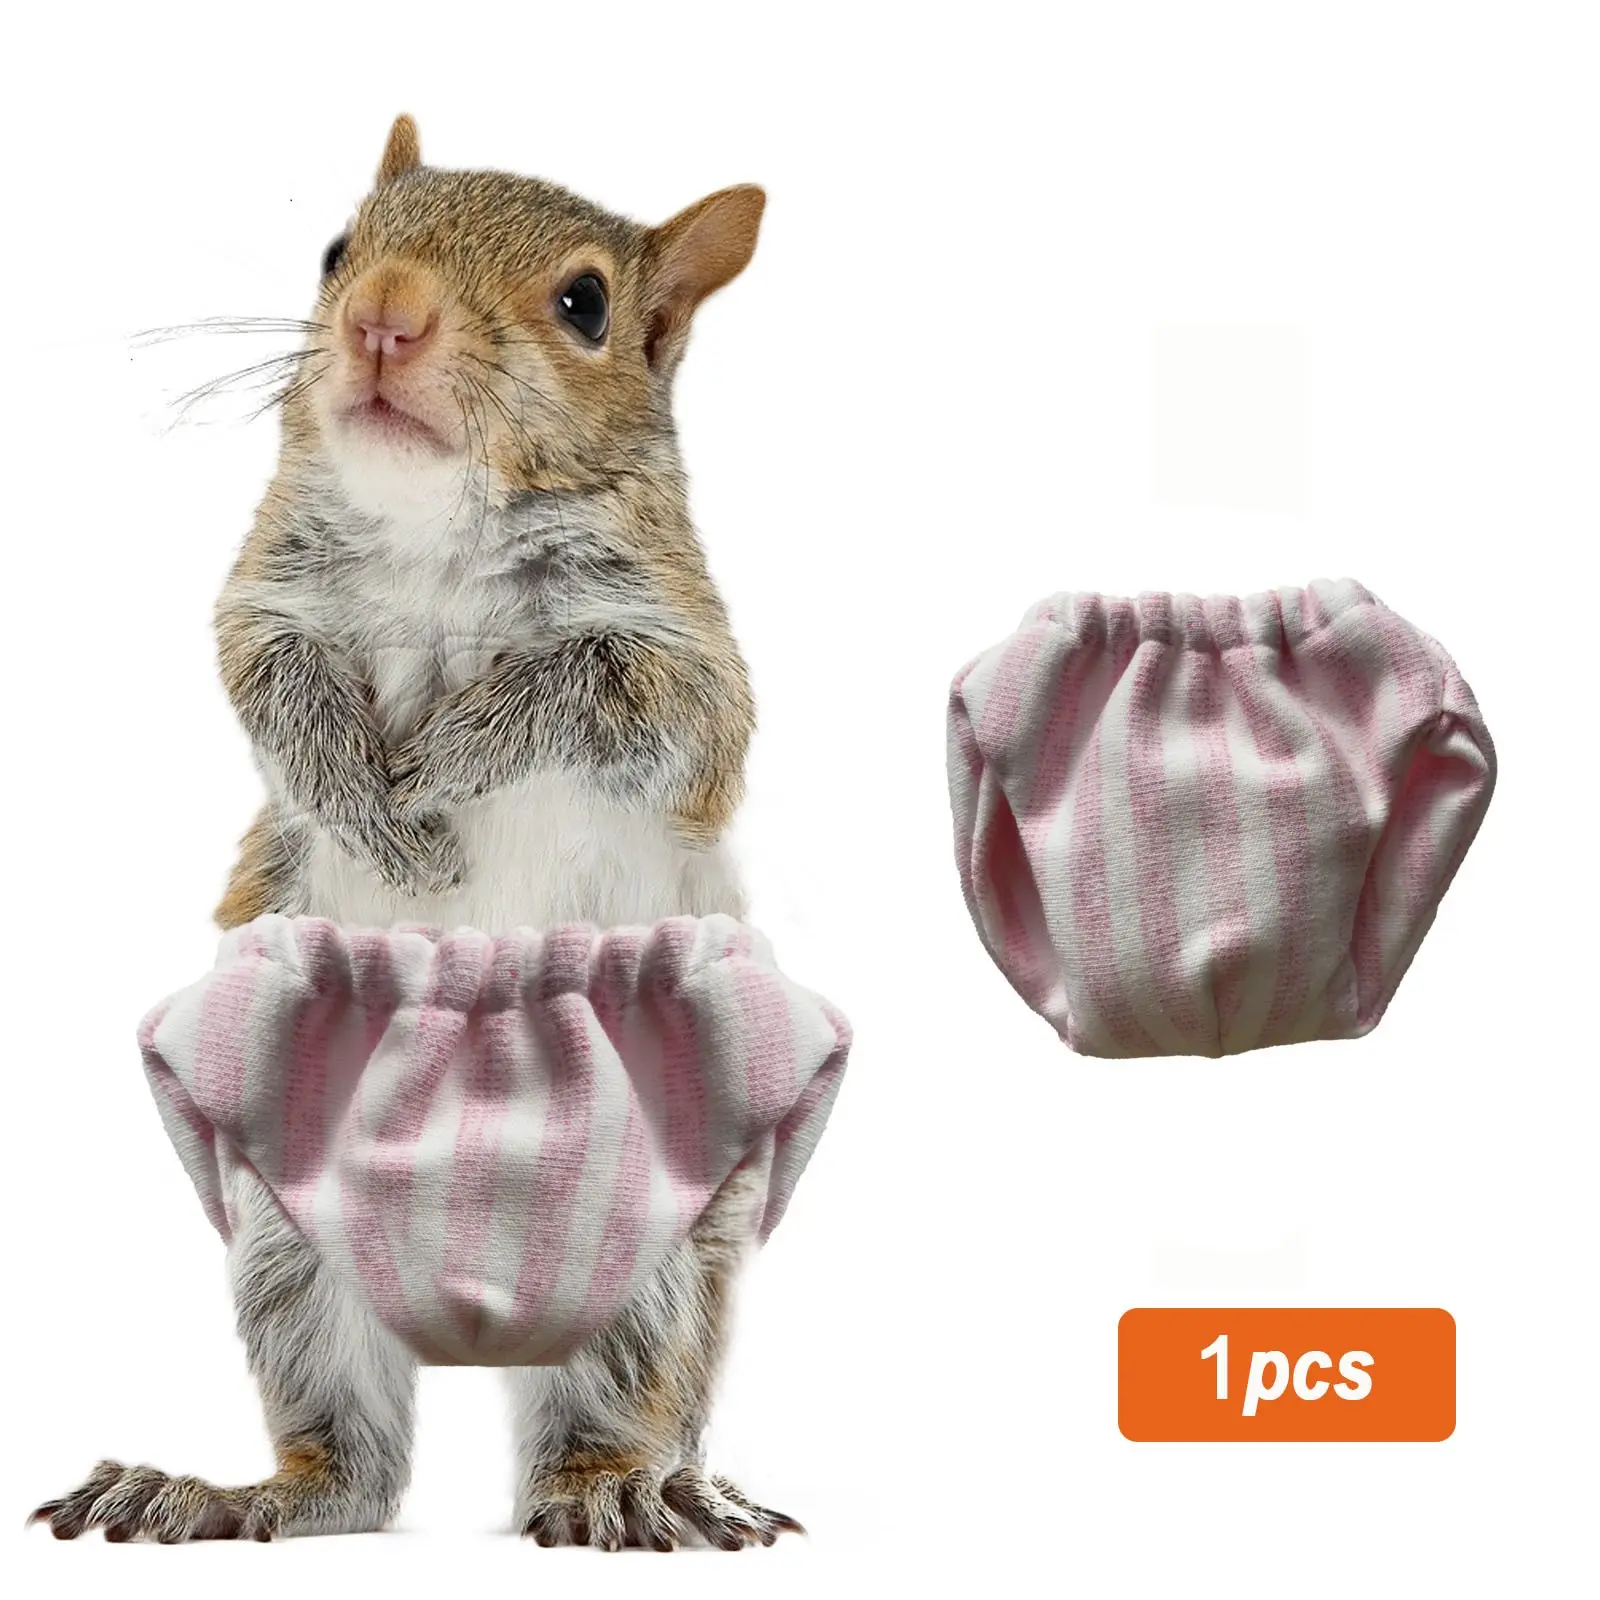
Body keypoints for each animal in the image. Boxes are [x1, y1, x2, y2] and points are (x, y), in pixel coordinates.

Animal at [34, 116, 798, 1551]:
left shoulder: (688, 679)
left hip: (653, 1268)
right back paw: (227, 1495)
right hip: (289, 1251)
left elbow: (583, 691)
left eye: (585, 305)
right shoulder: (265, 602)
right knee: (354, 1470)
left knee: (607, 1416)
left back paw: (621, 1494)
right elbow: (279, 701)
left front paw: (445, 763)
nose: (382, 314)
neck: (436, 530)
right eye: (338, 247)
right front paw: (387, 820)